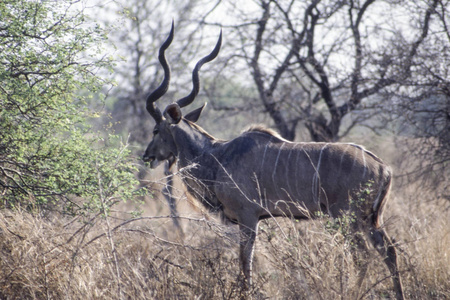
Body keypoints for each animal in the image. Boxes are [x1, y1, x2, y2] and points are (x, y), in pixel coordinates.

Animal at [143, 23, 404, 300]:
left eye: (156, 130)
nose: (147, 156)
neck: (217, 156)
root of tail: (383, 167)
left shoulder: (247, 218)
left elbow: (245, 262)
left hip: (348, 218)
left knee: (362, 256)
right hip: (371, 219)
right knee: (389, 251)